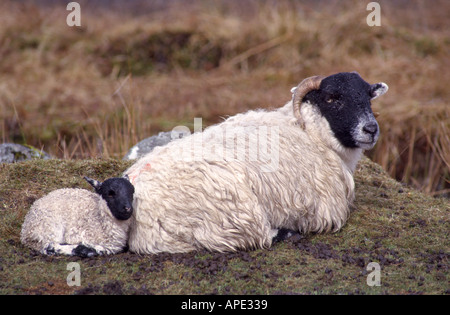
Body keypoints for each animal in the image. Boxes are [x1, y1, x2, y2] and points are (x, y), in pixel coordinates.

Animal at [125, 71, 388, 254]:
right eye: (332, 98)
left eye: (368, 98)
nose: (371, 129)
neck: (313, 132)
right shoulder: (326, 210)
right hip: (234, 211)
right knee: (255, 236)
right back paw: (286, 232)